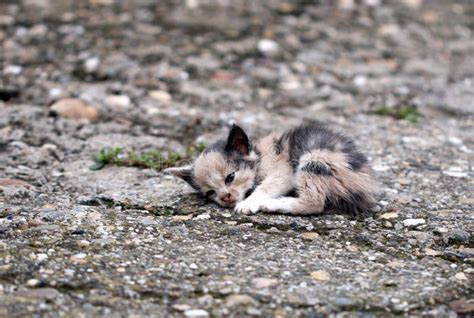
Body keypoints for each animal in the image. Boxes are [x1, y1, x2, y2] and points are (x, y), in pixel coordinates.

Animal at [167, 123, 378, 217]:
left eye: (230, 177)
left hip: (315, 159)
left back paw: (271, 204)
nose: (225, 197)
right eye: (210, 192)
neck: (259, 155)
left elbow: (265, 187)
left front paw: (248, 203)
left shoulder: (283, 171)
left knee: (314, 203)